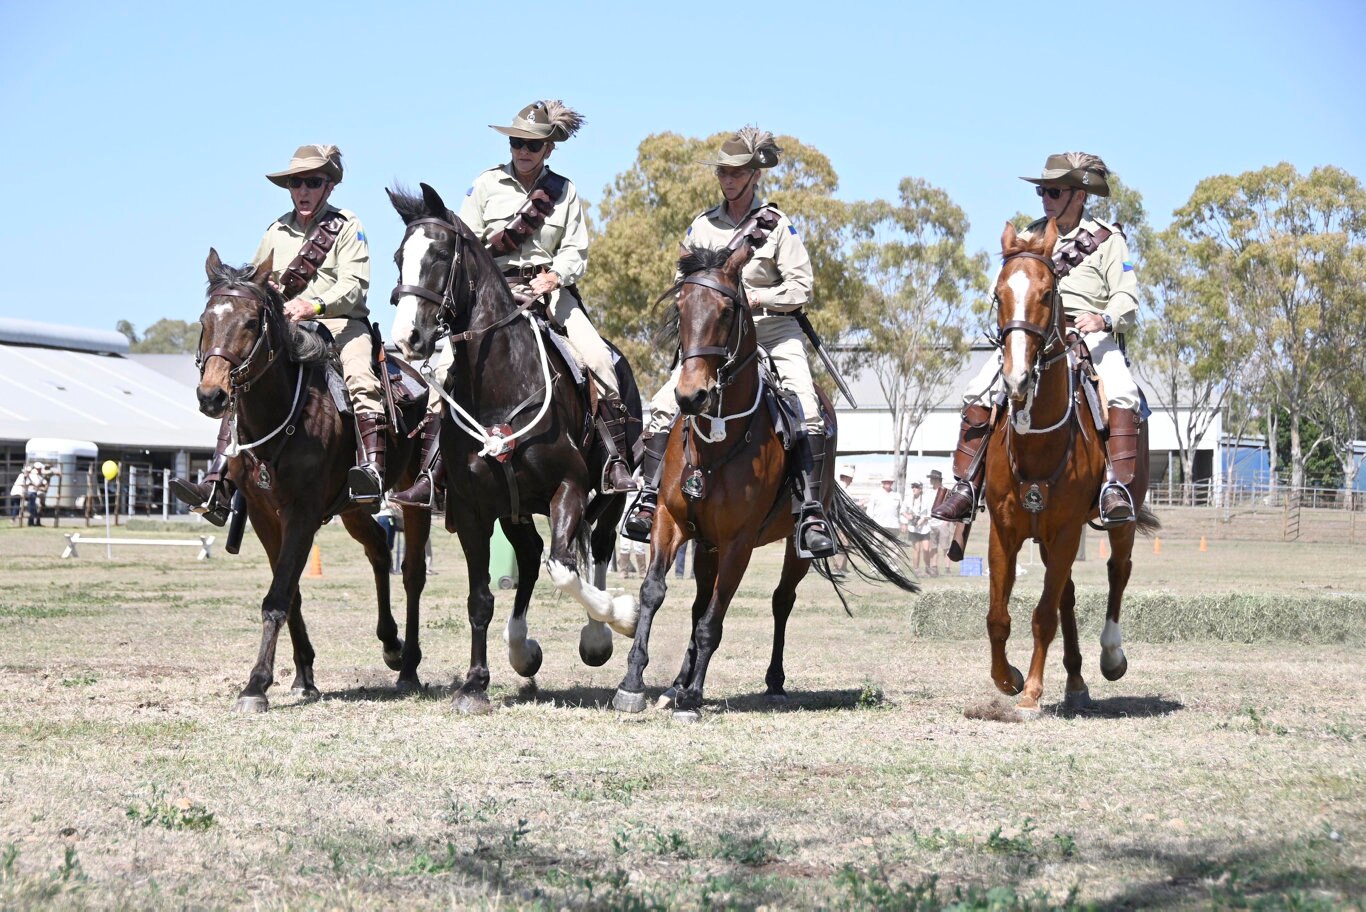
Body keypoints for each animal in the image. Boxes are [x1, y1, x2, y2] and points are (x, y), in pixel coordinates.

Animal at [196, 249, 431, 709]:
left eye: (250, 322)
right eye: (205, 320)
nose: (211, 396)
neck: (283, 414)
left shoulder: (301, 514)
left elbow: (278, 596)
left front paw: (256, 685)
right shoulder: (264, 516)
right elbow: (290, 592)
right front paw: (303, 675)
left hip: (412, 495)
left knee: (412, 573)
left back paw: (408, 665)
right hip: (352, 506)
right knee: (379, 550)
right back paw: (390, 644)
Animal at [385, 181, 639, 715]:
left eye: (439, 254)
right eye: (399, 257)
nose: (407, 338)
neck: (501, 384)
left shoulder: (569, 487)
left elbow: (565, 569)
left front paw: (620, 617)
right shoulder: (474, 510)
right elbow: (481, 598)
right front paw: (475, 684)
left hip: (608, 496)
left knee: (598, 549)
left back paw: (598, 635)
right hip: (516, 509)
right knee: (529, 553)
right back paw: (521, 648)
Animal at [614, 245, 923, 720]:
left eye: (726, 311)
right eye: (681, 308)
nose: (691, 396)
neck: (716, 442)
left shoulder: (739, 543)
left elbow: (714, 621)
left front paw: (693, 697)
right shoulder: (671, 523)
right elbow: (654, 593)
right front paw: (634, 682)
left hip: (792, 546)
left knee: (780, 601)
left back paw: (769, 682)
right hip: (707, 546)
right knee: (700, 602)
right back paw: (678, 682)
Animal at [978, 223, 1158, 715]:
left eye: (1046, 293)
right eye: (999, 293)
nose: (1016, 379)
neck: (1038, 443)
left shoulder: (1065, 532)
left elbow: (1042, 614)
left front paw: (1032, 692)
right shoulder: (1004, 531)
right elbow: (999, 615)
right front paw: (1008, 679)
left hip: (1120, 520)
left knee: (1118, 570)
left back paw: (1110, 657)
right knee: (1068, 594)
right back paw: (1075, 680)